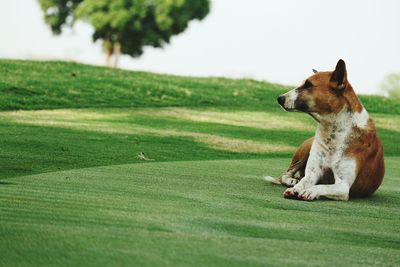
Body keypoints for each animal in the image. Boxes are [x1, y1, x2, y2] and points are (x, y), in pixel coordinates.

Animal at [266, 59, 384, 201]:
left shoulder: (343, 186)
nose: (279, 98)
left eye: (308, 85)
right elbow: (304, 182)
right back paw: (292, 181)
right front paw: (295, 188)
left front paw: (310, 191)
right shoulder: (312, 174)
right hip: (305, 150)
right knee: (286, 174)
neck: (333, 131)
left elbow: (322, 186)